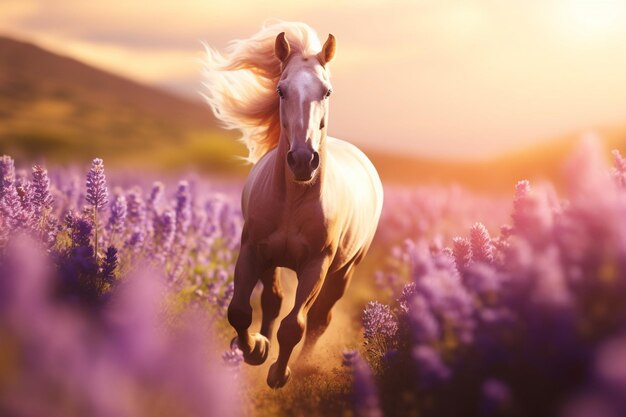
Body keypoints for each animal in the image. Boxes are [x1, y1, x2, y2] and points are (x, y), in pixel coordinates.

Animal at [202, 22, 382, 386]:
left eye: (327, 92)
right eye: (282, 90)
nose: (302, 160)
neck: (294, 200)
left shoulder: (316, 266)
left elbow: (294, 326)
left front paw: (279, 373)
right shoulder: (253, 250)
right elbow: (240, 311)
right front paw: (255, 349)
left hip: (345, 270)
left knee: (319, 319)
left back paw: (301, 366)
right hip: (274, 261)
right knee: (273, 301)